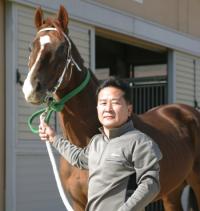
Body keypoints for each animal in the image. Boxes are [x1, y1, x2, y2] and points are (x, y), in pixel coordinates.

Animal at [22, 5, 200, 211]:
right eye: (31, 47)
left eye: (62, 48)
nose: (31, 88)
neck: (84, 142)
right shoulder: (77, 203)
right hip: (172, 190)